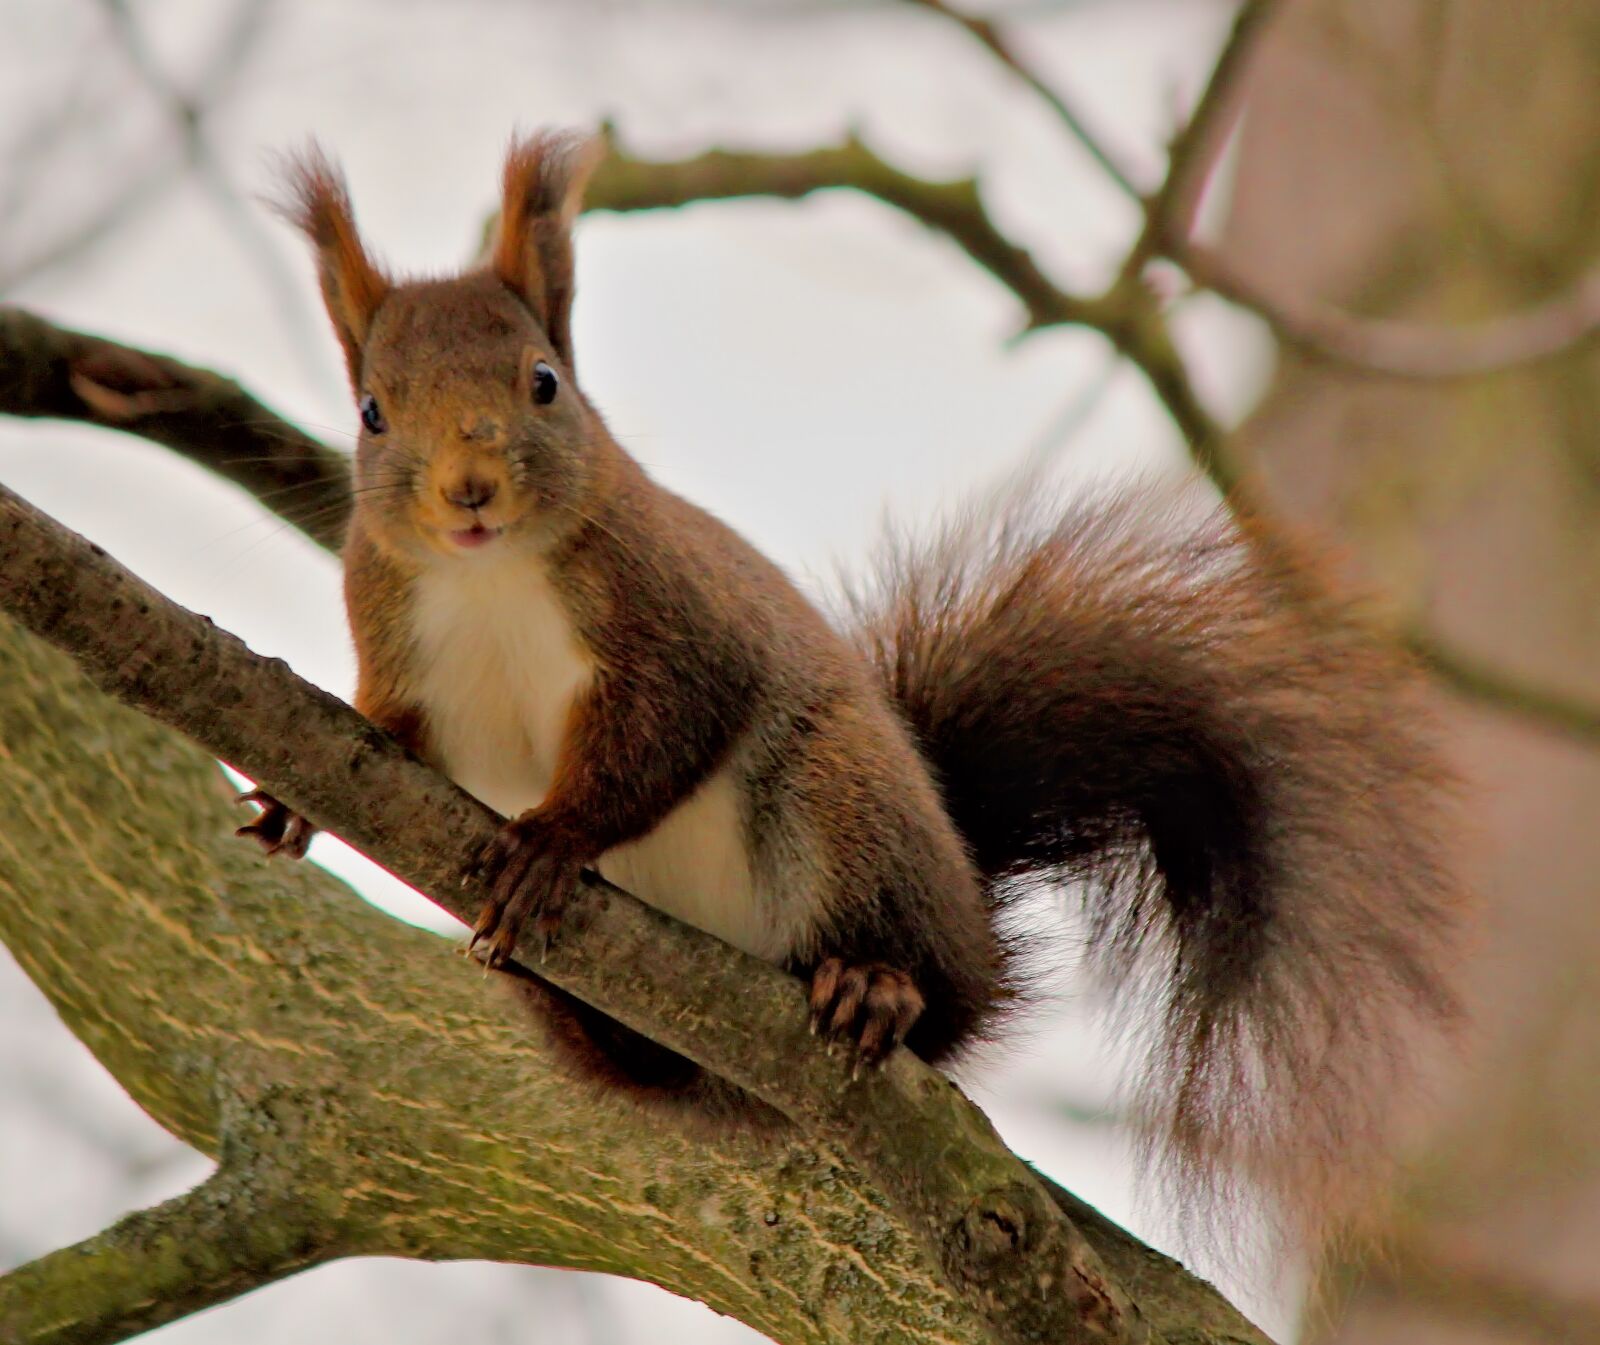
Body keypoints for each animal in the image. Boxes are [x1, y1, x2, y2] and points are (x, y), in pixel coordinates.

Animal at [240, 129, 1463, 1234]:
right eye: (373, 412)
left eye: (543, 383)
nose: (469, 489)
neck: (488, 576)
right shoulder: (397, 637)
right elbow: (388, 728)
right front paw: (293, 798)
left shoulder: (677, 622)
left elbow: (663, 733)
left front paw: (553, 839)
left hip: (843, 798)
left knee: (925, 989)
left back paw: (878, 983)